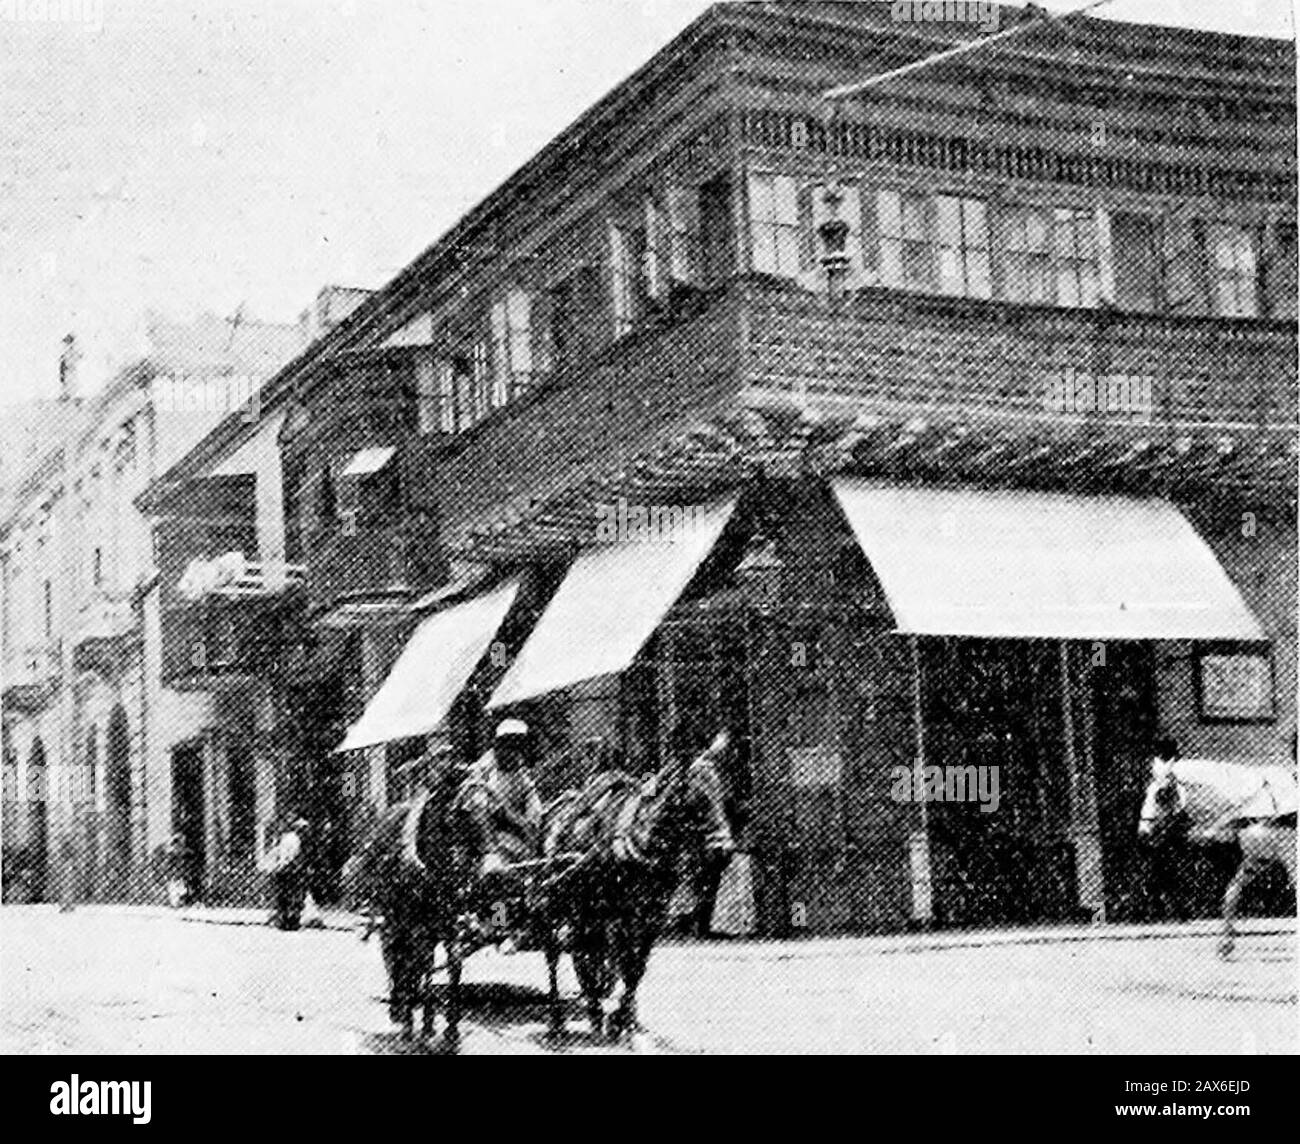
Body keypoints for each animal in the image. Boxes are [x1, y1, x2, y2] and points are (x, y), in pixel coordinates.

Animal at [538, 733, 738, 1045]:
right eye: (697, 800)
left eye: (725, 797)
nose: (723, 851)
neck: (645, 840)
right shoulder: (619, 916)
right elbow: (623, 962)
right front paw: (618, 1020)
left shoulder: (652, 916)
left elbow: (635, 968)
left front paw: (623, 1020)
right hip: (555, 902)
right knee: (554, 954)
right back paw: (557, 1019)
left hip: (585, 907)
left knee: (583, 950)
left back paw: (594, 1007)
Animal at [1133, 759, 1294, 956]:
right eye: (1148, 791)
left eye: (1161, 794)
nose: (1143, 833)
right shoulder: (1257, 859)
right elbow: (1231, 894)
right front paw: (1225, 945)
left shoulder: (1290, 856)